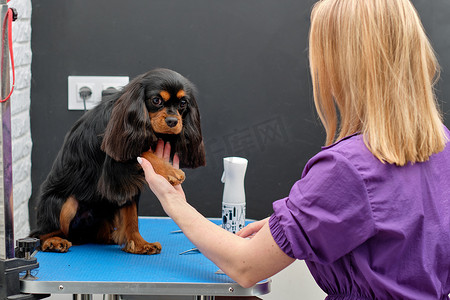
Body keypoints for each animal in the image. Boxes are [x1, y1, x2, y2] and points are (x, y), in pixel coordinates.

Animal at [31, 69, 206, 254]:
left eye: (183, 103)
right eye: (156, 100)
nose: (173, 121)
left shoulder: (127, 182)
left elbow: (131, 216)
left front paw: (139, 244)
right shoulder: (117, 158)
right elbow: (143, 152)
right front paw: (171, 172)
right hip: (65, 203)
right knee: (39, 234)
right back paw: (53, 241)